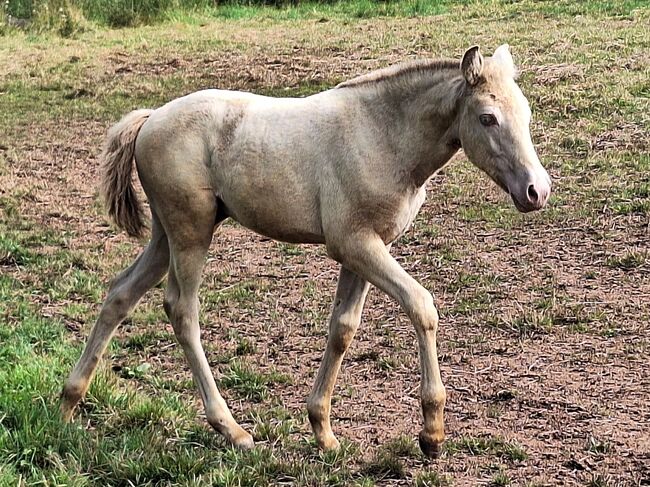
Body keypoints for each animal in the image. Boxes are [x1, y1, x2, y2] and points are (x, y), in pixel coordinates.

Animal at [59, 44, 548, 458]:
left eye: (525, 113)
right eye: (487, 118)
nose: (536, 191)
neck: (383, 134)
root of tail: (151, 118)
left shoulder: (365, 249)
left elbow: (342, 329)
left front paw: (323, 431)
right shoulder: (354, 244)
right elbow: (421, 305)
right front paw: (432, 433)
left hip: (166, 234)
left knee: (120, 293)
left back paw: (68, 403)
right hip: (190, 233)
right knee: (181, 310)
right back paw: (232, 429)